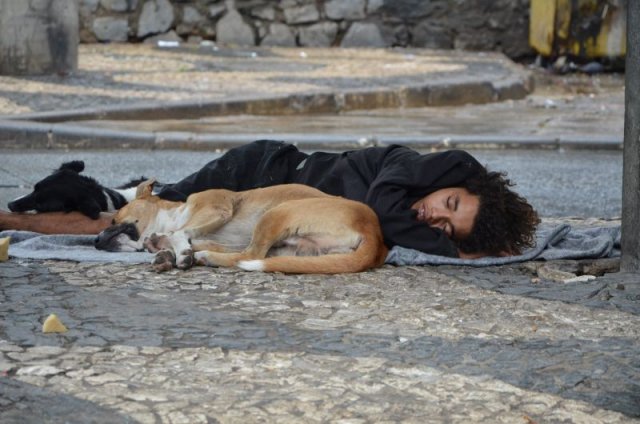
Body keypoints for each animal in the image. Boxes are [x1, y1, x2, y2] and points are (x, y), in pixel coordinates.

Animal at [93, 180, 388, 274]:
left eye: (114, 220)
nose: (95, 241)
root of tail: (376, 237)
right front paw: (165, 251)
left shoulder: (217, 208)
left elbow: (180, 233)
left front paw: (179, 251)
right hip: (288, 249)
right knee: (246, 255)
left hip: (276, 214)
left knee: (250, 256)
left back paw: (203, 257)